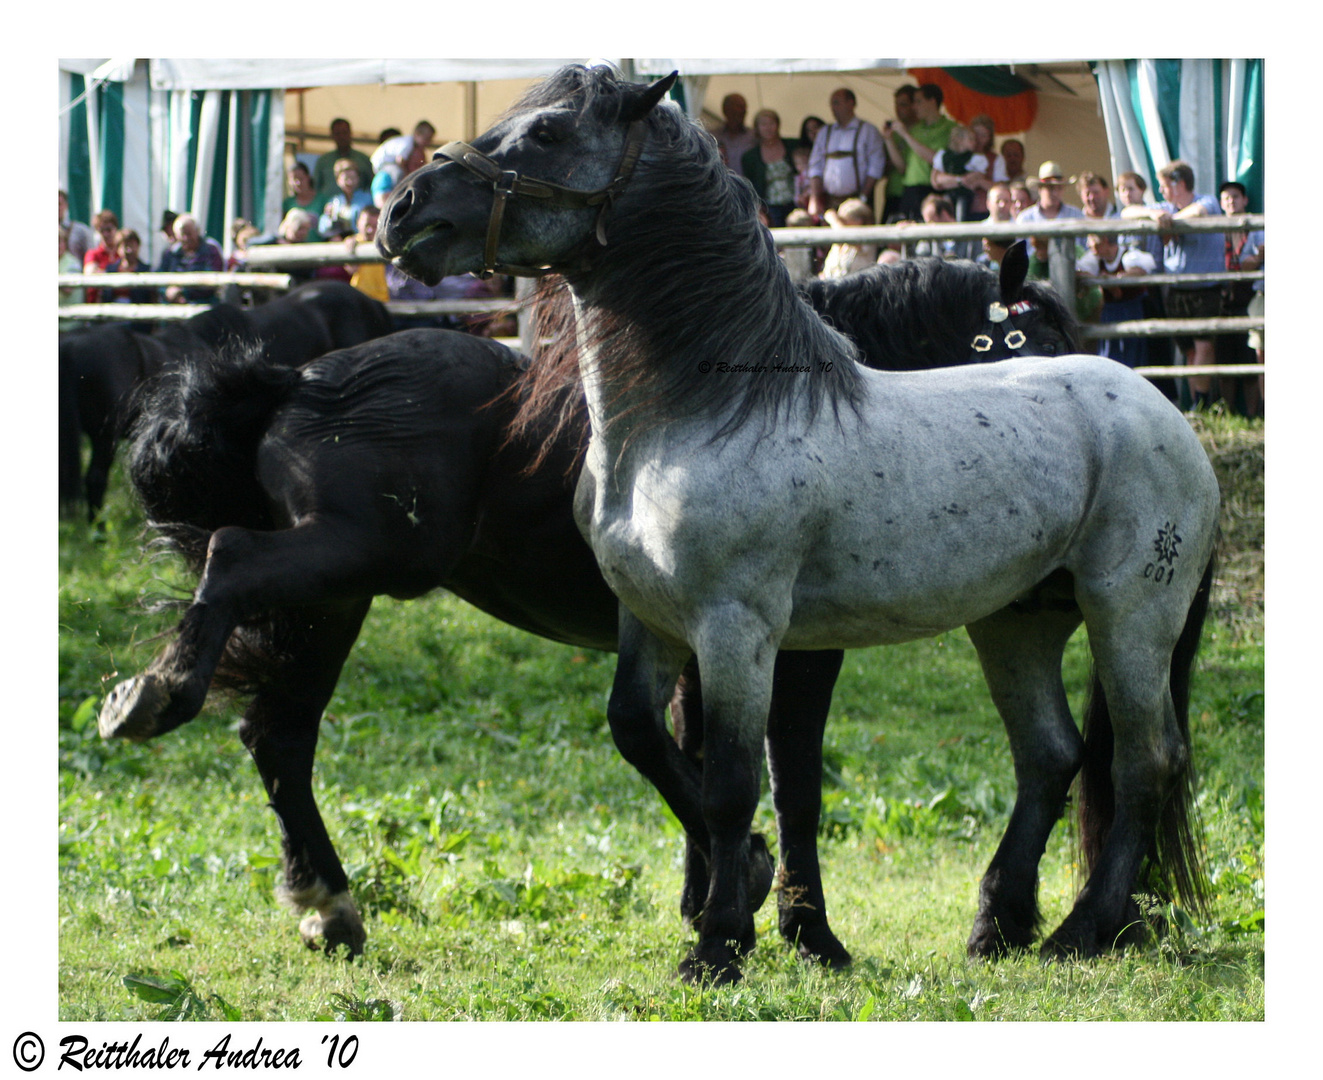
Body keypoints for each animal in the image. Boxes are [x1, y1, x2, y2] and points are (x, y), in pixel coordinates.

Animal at [97, 244, 1079, 963]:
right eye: (1027, 340)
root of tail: (293, 381)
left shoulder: (702, 641)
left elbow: (695, 756)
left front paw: (714, 901)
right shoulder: (795, 650)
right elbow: (790, 783)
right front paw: (801, 928)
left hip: (333, 602)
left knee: (279, 739)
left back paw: (327, 901)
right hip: (350, 560)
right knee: (232, 572)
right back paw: (157, 694)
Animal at [381, 63, 1217, 984]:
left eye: (548, 134)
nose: (405, 211)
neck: (704, 412)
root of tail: (1165, 415)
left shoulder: (739, 631)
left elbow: (736, 781)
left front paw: (721, 940)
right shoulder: (651, 621)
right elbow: (640, 734)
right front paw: (746, 893)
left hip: (1129, 616)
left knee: (1142, 761)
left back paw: (1084, 927)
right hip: (1015, 624)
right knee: (1050, 755)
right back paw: (997, 927)